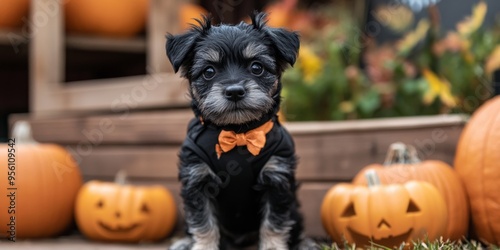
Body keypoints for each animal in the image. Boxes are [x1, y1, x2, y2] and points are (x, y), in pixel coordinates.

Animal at [164, 13, 312, 250]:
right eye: (209, 71)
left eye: (256, 67)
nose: (234, 91)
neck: (237, 132)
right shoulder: (197, 179)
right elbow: (203, 222)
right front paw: (203, 246)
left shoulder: (277, 179)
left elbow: (274, 222)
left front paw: (272, 247)